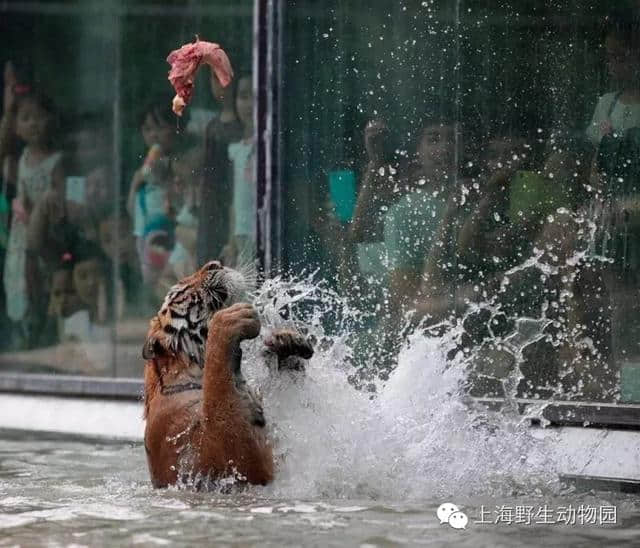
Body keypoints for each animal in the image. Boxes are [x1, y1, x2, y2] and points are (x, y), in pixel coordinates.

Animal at [144, 262, 316, 488]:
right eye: (183, 287)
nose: (215, 264)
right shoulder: (207, 456)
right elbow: (218, 389)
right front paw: (231, 318)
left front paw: (286, 341)